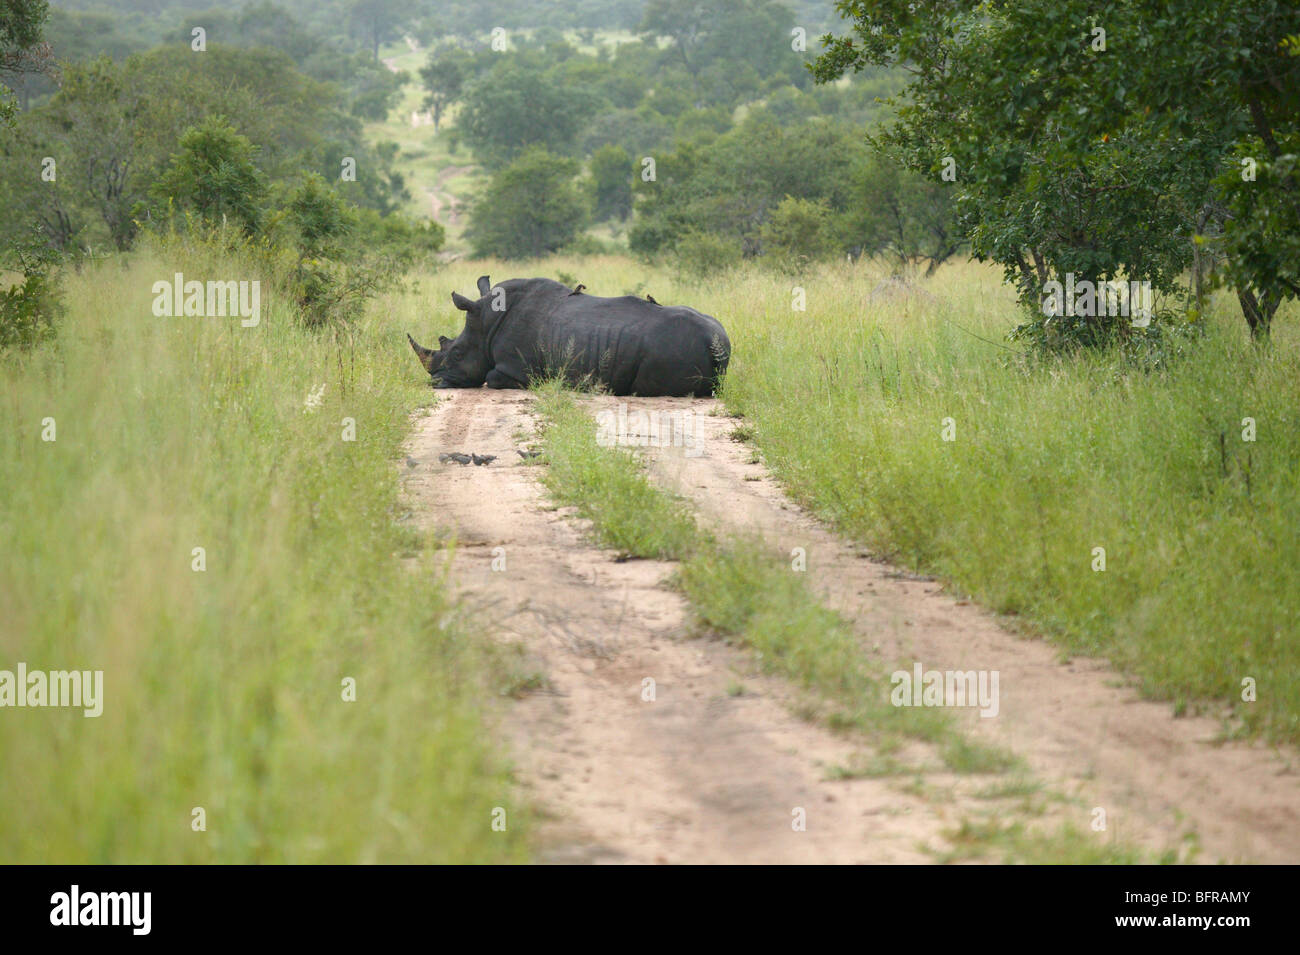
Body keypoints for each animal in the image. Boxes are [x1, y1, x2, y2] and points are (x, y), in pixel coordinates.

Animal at [405, 274, 733, 397]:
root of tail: (716, 340)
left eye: (457, 354)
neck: (487, 321)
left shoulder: (515, 369)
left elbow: (492, 376)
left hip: (670, 348)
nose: (436, 382)